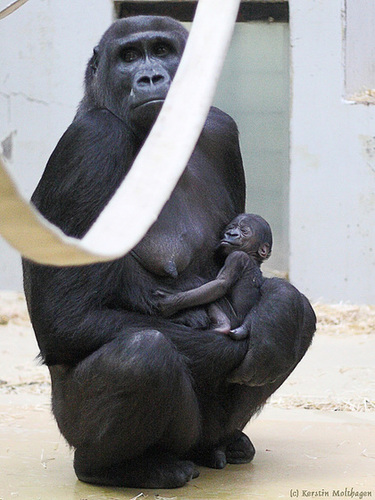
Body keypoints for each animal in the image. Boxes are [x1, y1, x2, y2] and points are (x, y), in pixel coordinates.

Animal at [22, 16, 314, 488]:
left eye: (162, 51)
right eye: (128, 57)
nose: (150, 78)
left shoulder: (219, 128)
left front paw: (278, 314)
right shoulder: (92, 142)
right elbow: (67, 318)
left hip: (208, 432)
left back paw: (227, 441)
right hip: (73, 426)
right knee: (143, 354)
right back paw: (117, 467)